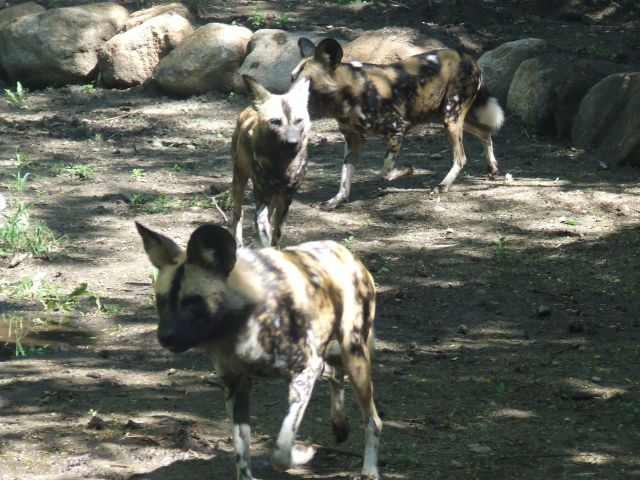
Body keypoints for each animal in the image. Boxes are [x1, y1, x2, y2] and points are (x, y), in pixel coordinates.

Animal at [135, 222, 382, 480]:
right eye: (161, 300)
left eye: (193, 301)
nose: (164, 337)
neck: (240, 323)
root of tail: (344, 251)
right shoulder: (236, 386)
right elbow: (241, 451)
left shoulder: (305, 373)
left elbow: (281, 453)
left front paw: (301, 453)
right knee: (335, 374)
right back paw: (340, 425)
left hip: (354, 353)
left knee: (373, 421)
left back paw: (370, 469)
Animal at [231, 74, 311, 248]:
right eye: (275, 122)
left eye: (299, 121)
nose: (292, 142)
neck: (281, 164)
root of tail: (250, 107)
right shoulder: (262, 196)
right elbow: (262, 226)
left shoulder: (286, 197)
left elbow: (277, 233)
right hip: (239, 180)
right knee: (238, 213)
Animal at [291, 37, 505, 209]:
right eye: (291, 78)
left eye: (305, 83)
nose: (287, 98)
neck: (350, 95)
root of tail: (467, 57)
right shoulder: (353, 139)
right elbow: (345, 177)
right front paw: (336, 201)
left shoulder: (397, 130)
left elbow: (384, 171)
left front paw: (407, 170)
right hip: (444, 117)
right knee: (485, 131)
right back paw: (492, 168)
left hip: (450, 118)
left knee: (461, 157)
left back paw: (442, 186)